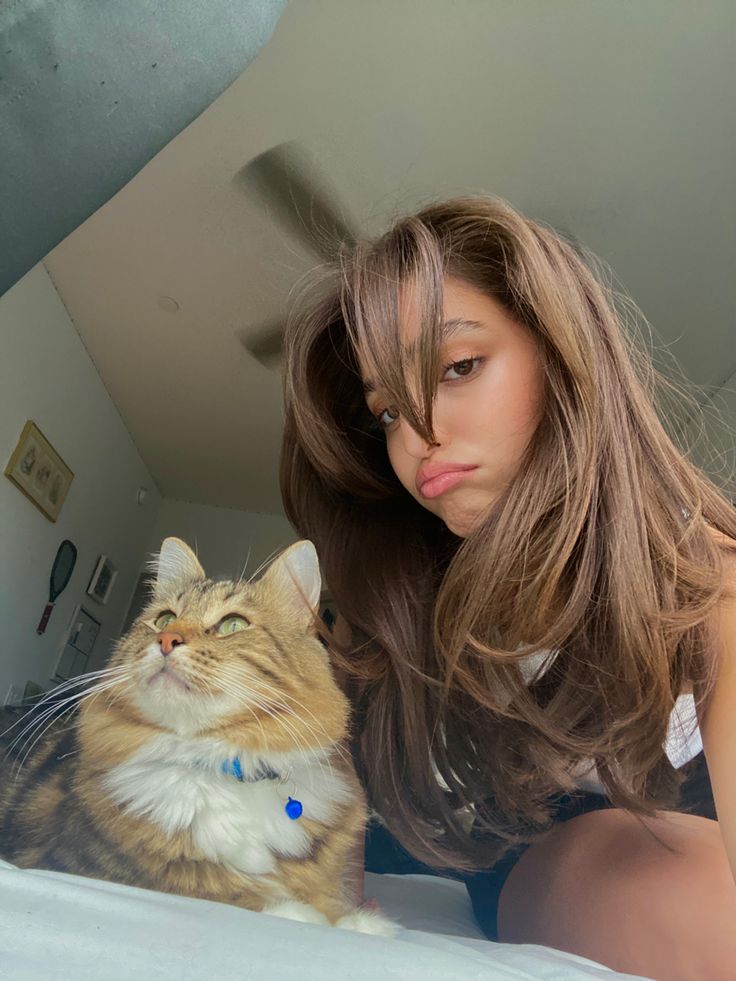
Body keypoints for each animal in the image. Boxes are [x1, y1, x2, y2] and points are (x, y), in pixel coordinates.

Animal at [1, 544, 396, 936]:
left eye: (232, 625)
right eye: (164, 619)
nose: (165, 640)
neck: (223, 764)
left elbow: (327, 896)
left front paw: (357, 921)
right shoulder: (79, 863)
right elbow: (218, 891)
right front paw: (299, 913)